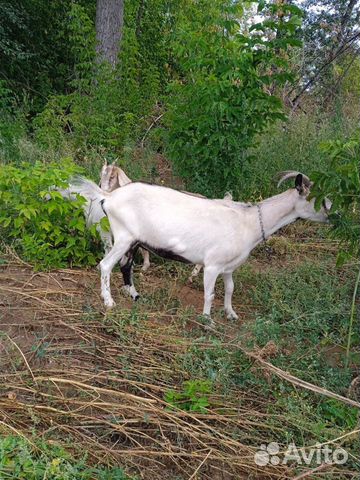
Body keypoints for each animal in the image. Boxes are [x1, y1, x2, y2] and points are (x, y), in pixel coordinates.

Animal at [69, 171, 330, 324]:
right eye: (316, 198)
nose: (333, 214)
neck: (249, 222)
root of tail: (107, 197)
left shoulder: (228, 267)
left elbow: (230, 289)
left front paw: (231, 313)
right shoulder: (212, 265)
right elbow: (210, 293)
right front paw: (207, 319)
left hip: (132, 241)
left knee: (125, 266)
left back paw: (134, 295)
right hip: (124, 236)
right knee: (105, 265)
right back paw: (109, 301)